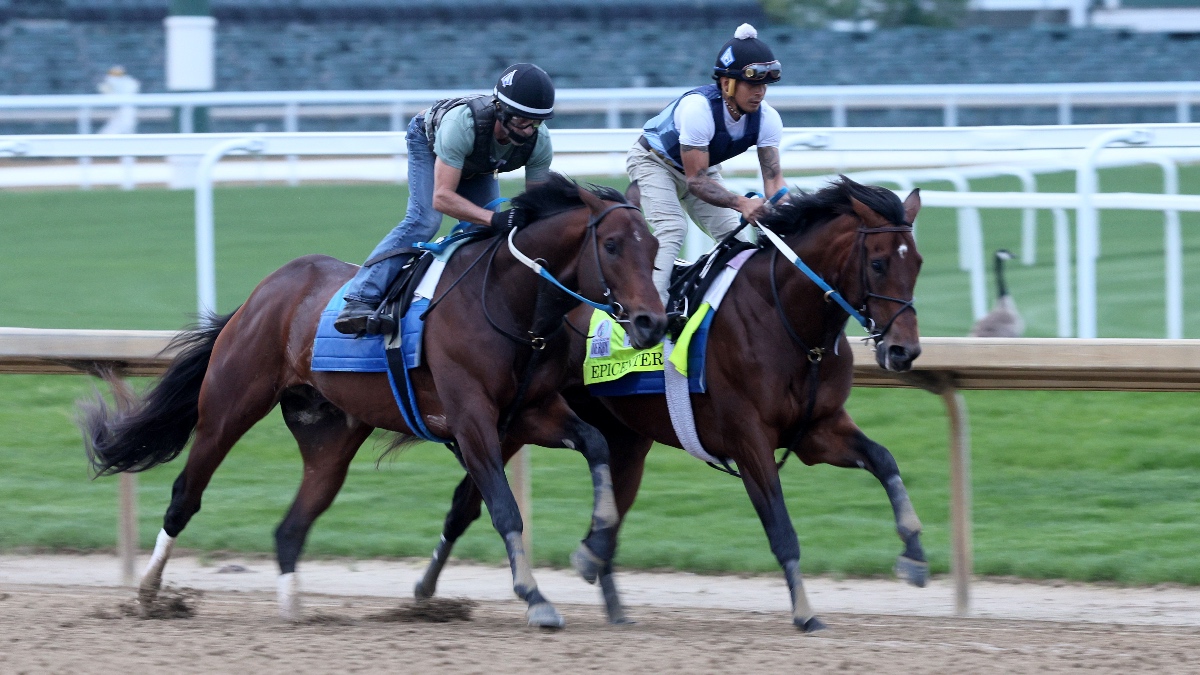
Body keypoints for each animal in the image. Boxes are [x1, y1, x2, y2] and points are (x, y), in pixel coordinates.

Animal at [79, 171, 672, 624]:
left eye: (655, 246)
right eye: (613, 245)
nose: (651, 322)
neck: (510, 302)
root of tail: (260, 295)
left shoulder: (529, 413)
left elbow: (595, 444)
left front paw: (592, 551)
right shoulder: (472, 419)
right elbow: (505, 508)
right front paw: (535, 597)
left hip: (330, 434)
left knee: (291, 526)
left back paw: (293, 608)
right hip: (229, 406)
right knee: (186, 494)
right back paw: (150, 593)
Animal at [408, 176, 921, 629]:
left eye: (914, 262)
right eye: (878, 263)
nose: (904, 351)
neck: (787, 321)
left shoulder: (818, 428)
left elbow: (884, 459)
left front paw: (914, 553)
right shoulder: (749, 438)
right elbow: (781, 527)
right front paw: (805, 612)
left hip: (619, 436)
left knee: (597, 503)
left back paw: (601, 589)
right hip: (506, 418)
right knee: (470, 502)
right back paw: (435, 589)